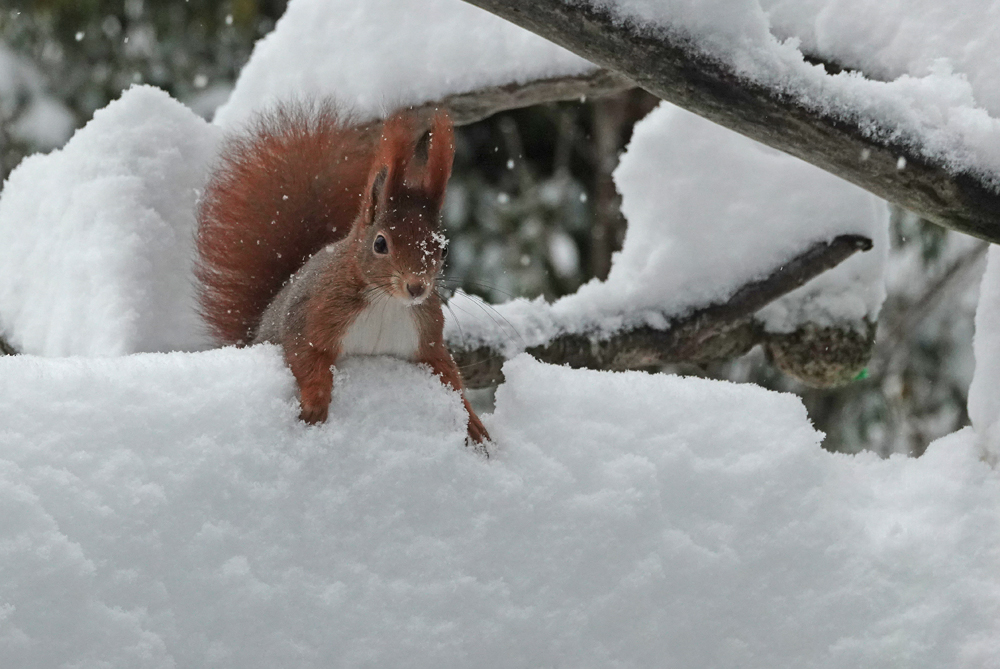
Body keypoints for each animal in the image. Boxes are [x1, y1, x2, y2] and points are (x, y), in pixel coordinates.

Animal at [193, 102, 490, 446]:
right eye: (380, 243)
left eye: (443, 250)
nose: (417, 288)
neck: (386, 301)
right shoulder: (310, 316)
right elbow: (306, 358)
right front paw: (315, 403)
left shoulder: (427, 337)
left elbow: (449, 375)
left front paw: (473, 422)